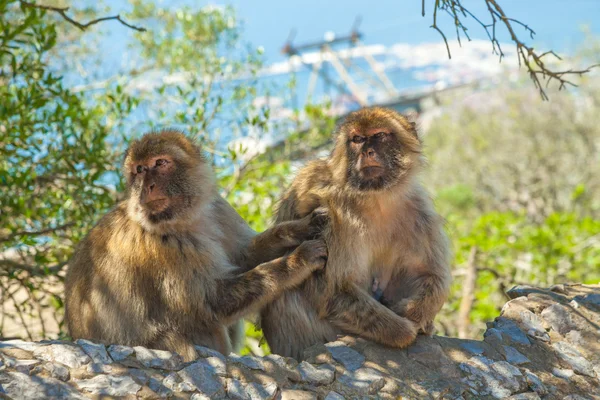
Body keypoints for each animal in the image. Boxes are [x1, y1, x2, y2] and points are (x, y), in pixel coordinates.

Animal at [65, 130, 328, 360]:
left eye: (160, 163)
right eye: (139, 170)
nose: (147, 186)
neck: (186, 219)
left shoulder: (219, 209)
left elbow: (244, 256)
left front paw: (300, 228)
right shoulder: (165, 245)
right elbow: (208, 303)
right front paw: (298, 259)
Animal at [260, 106, 452, 360]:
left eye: (379, 135)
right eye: (357, 139)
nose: (367, 151)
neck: (376, 198)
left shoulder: (420, 213)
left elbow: (430, 275)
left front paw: (412, 313)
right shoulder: (331, 213)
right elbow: (332, 290)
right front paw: (403, 330)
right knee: (287, 291)